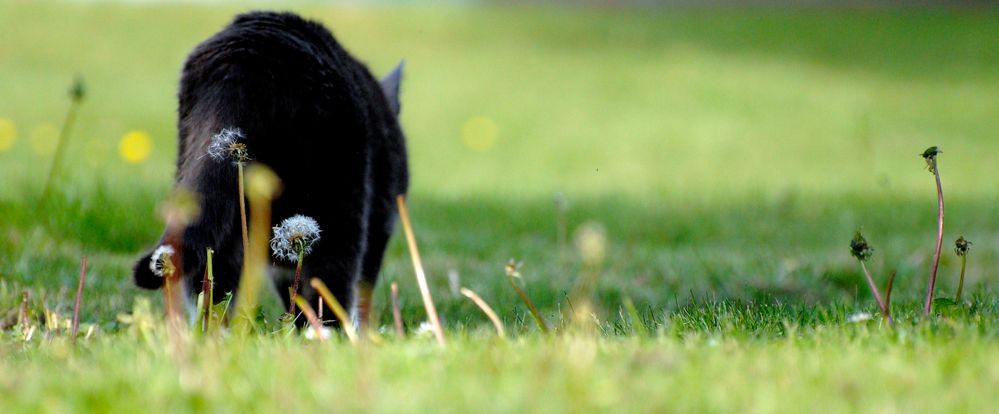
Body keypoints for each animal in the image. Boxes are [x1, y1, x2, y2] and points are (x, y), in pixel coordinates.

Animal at [132, 11, 406, 326]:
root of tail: (245, 63)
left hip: (206, 181)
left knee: (212, 278)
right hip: (339, 192)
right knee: (332, 277)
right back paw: (329, 332)